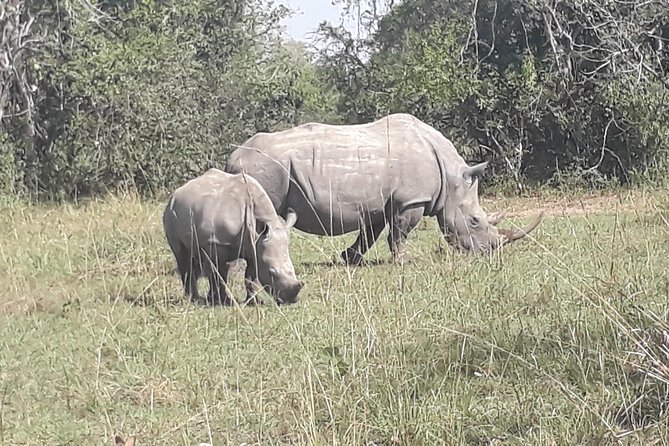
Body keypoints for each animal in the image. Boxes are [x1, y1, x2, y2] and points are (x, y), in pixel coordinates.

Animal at [162, 168, 303, 305]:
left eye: (293, 270)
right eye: (271, 272)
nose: (291, 300)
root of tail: (175, 194)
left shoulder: (255, 246)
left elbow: (250, 277)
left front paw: (253, 301)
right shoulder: (217, 242)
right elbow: (220, 274)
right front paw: (222, 301)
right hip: (170, 213)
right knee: (183, 257)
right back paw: (194, 299)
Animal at [224, 113, 543, 264]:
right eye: (475, 220)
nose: (490, 252)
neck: (452, 177)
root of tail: (234, 157)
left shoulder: (380, 201)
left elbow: (370, 233)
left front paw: (349, 259)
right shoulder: (411, 200)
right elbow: (399, 233)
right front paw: (404, 261)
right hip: (263, 169)